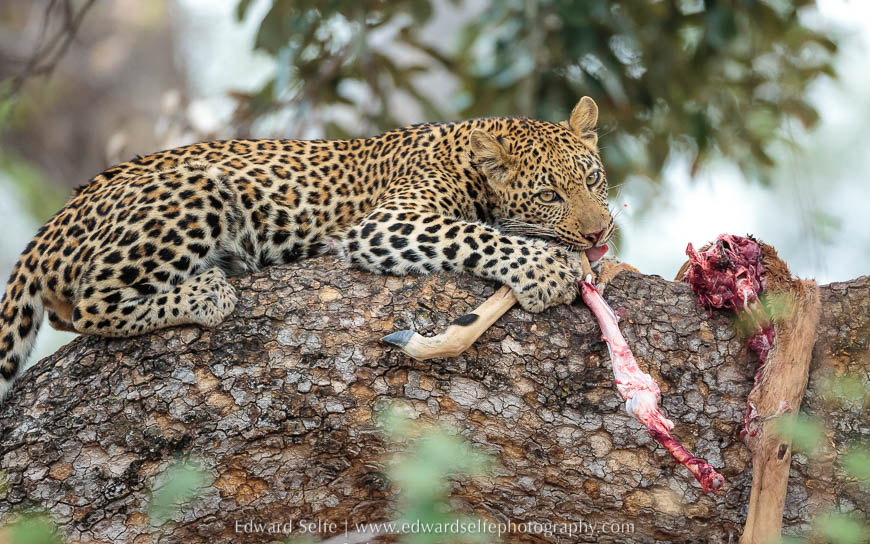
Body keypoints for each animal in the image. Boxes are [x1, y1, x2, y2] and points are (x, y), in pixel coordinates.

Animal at [0, 96, 613, 400]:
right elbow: (473, 234)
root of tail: (51, 226)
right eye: (550, 194)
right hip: (195, 188)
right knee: (90, 306)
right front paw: (545, 269)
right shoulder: (388, 221)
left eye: (594, 179)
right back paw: (206, 293)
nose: (599, 233)